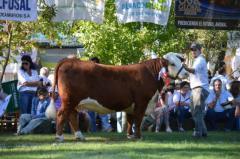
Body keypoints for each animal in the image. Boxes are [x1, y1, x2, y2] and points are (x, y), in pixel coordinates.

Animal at [46, 52, 189, 142]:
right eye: (172, 64)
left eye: (180, 62)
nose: (187, 73)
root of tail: (69, 60)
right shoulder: (141, 102)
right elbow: (138, 120)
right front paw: (139, 136)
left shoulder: (131, 105)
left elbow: (130, 120)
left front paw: (130, 136)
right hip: (69, 99)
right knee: (62, 114)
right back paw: (59, 137)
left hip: (74, 101)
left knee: (72, 116)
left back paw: (79, 136)